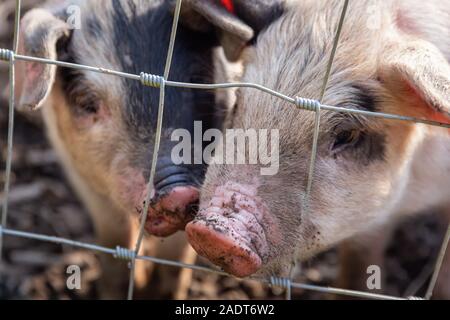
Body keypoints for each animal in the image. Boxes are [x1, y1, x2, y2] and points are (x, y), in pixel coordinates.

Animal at [12, 0, 266, 298]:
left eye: (197, 82)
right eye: (87, 103)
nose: (176, 190)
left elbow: (176, 259)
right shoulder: (81, 175)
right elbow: (115, 240)